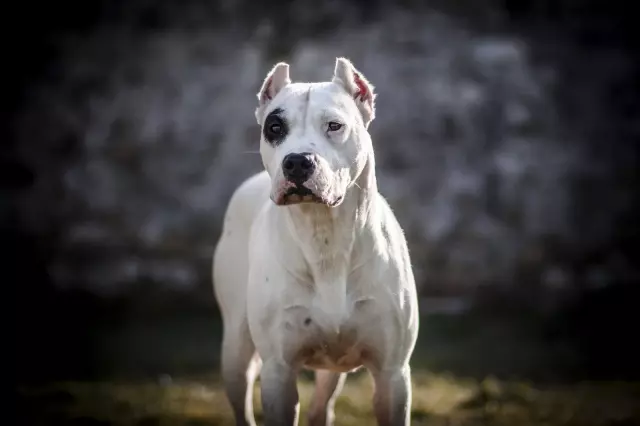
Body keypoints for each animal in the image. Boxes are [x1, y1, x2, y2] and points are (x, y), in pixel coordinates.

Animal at [212, 57, 418, 426]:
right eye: (274, 127)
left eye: (335, 125)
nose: (296, 161)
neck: (325, 237)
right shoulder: (279, 372)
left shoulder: (393, 374)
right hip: (236, 348)